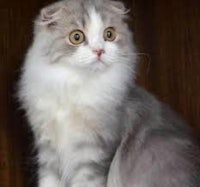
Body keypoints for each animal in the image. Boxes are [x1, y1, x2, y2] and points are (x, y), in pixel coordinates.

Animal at [18, 0, 200, 187]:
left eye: (109, 34)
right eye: (76, 37)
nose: (99, 51)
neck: (75, 86)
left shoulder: (93, 152)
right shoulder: (48, 150)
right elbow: (48, 181)